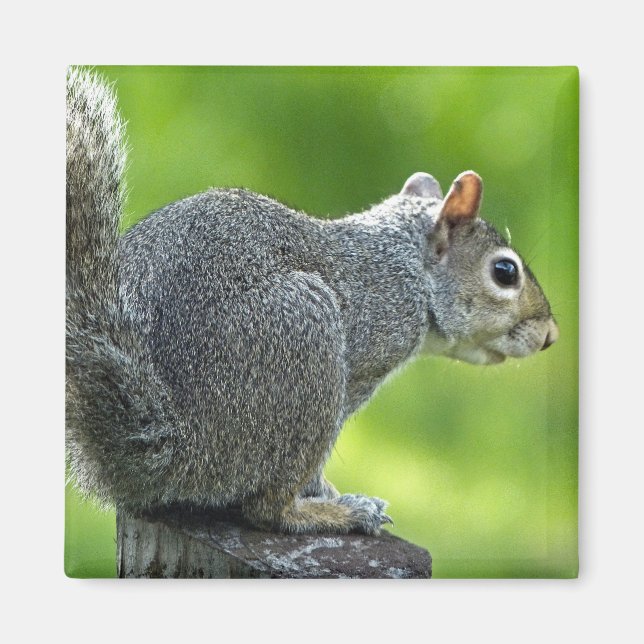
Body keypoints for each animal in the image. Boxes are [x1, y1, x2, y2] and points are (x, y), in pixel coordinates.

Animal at [66, 68, 559, 536]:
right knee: (267, 509)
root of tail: (173, 447)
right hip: (306, 349)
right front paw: (326, 492)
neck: (408, 268)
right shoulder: (363, 362)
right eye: (505, 272)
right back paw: (337, 513)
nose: (551, 334)